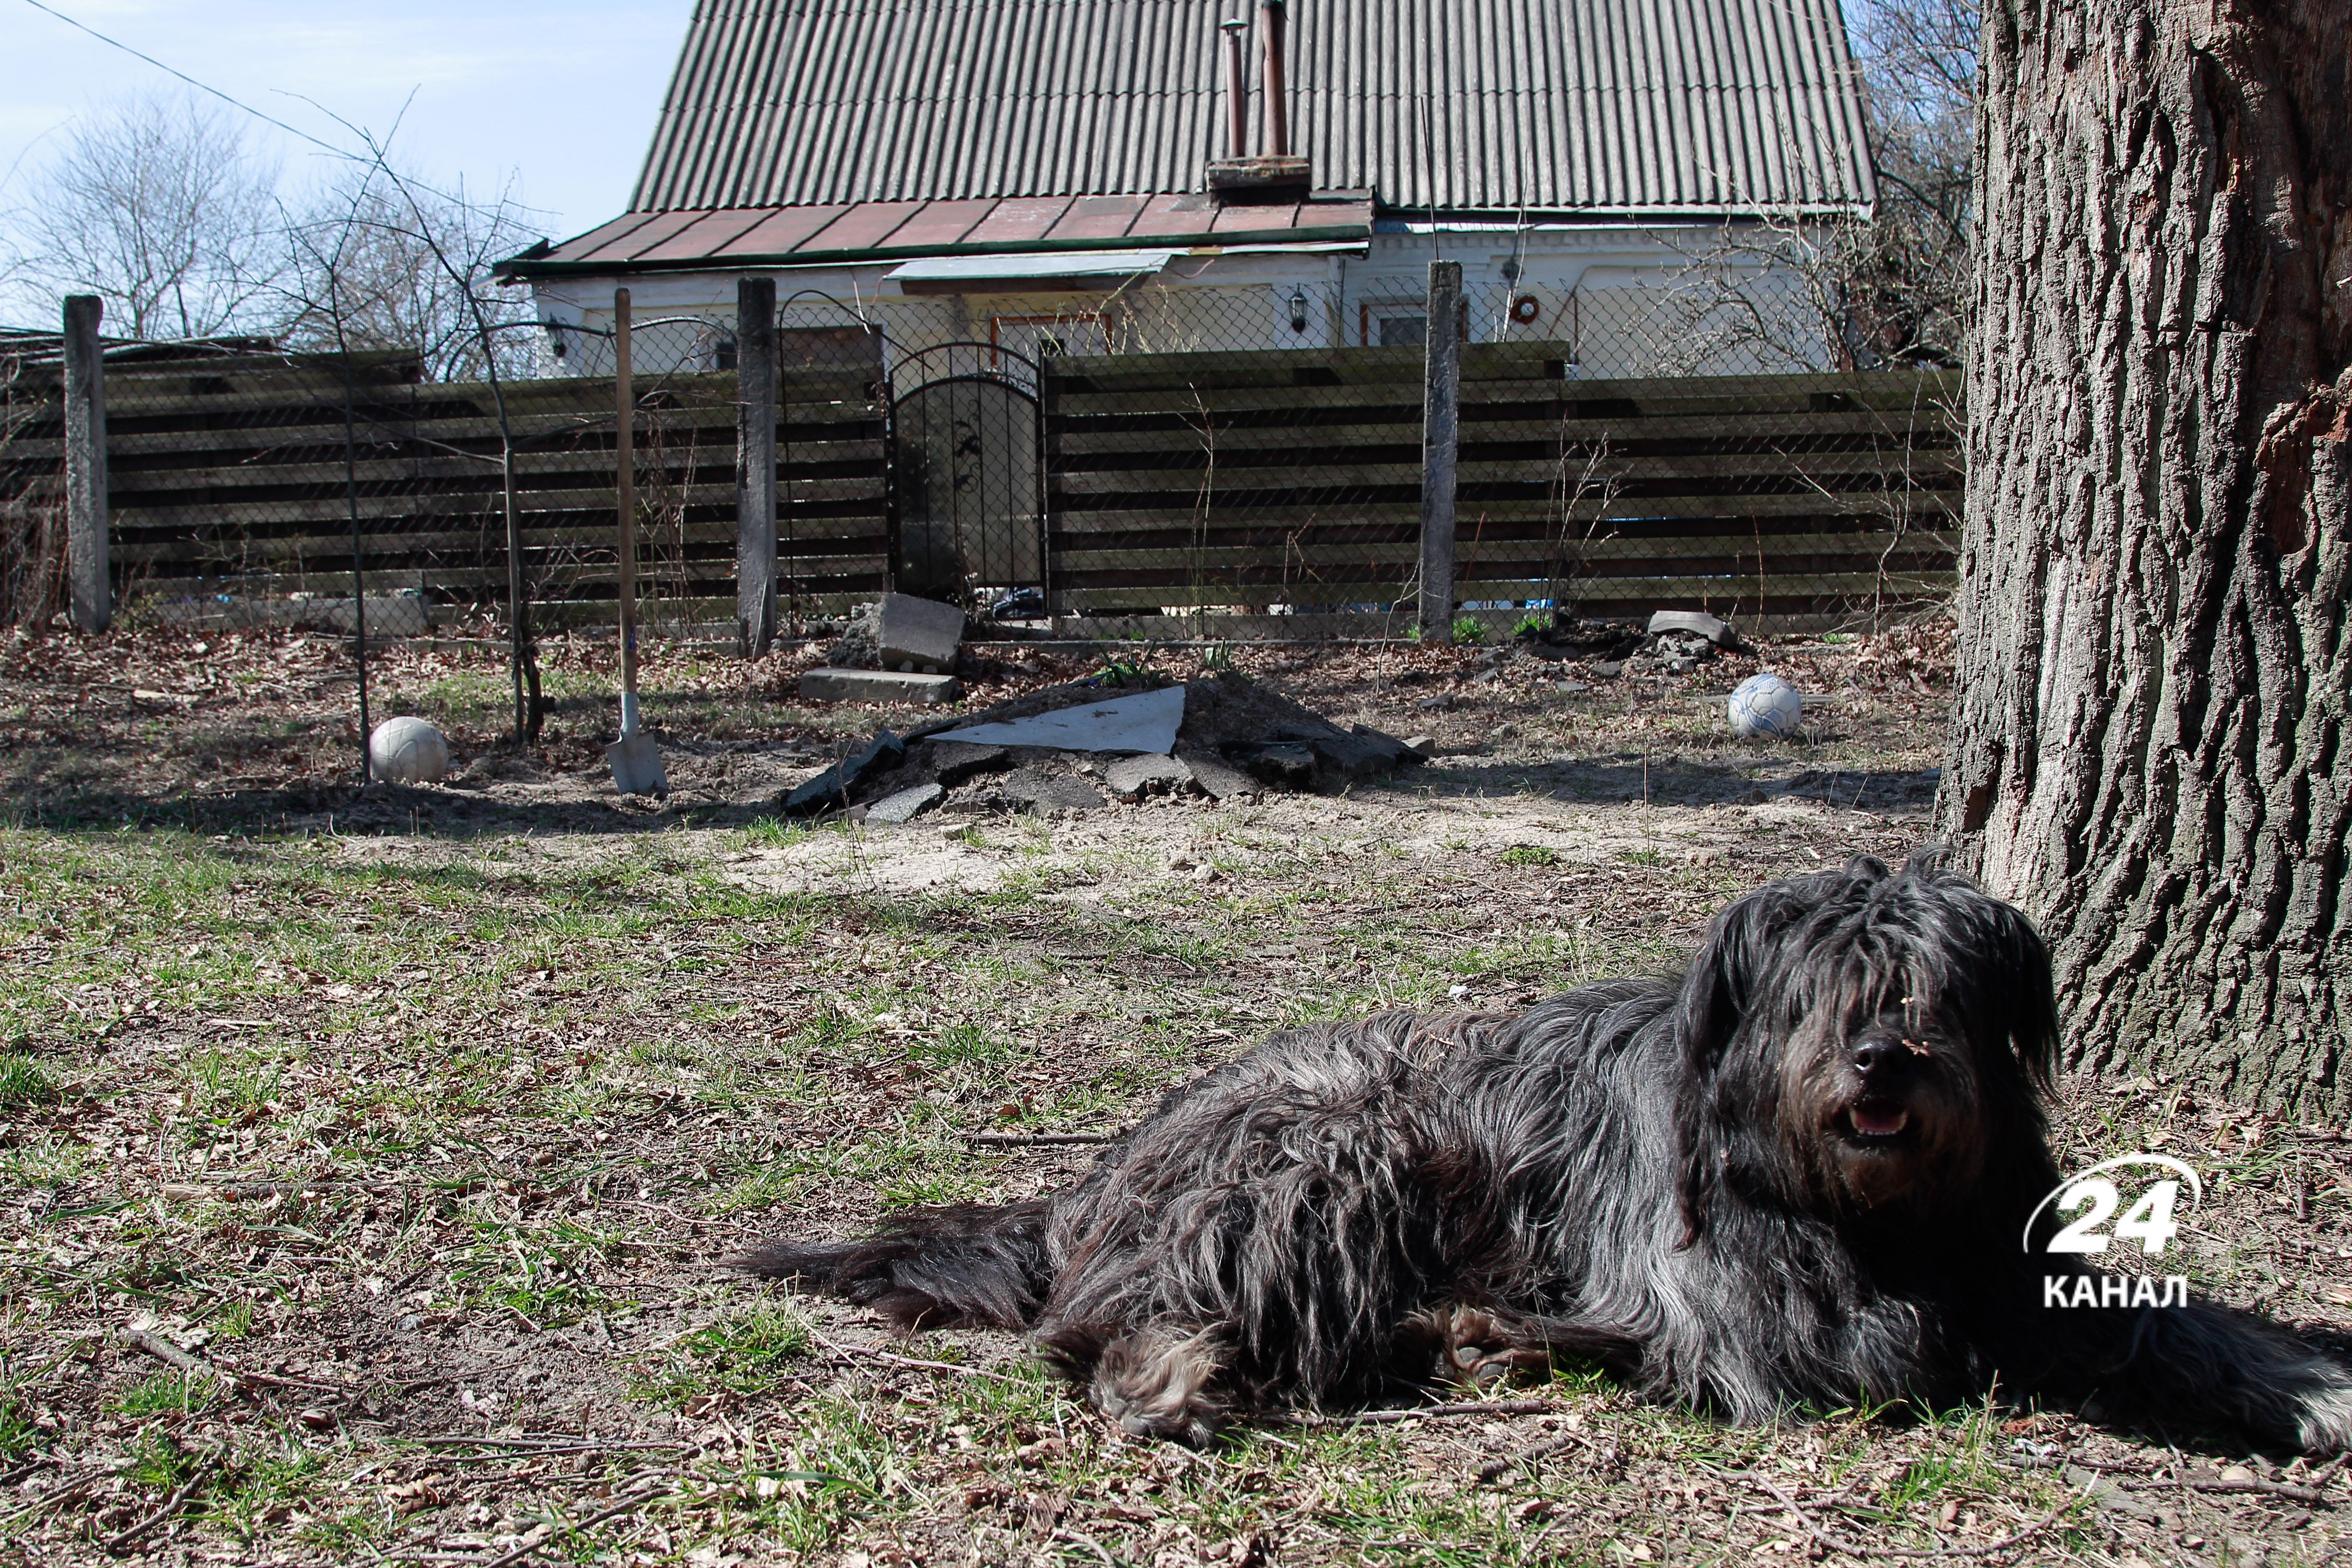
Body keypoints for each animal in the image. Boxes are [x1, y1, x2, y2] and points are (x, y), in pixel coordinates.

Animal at [748, 851, 2352, 1457]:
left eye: (1929, 990)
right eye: (1826, 987)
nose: (1884, 1062)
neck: (1865, 1211)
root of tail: (1109, 1164)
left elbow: (2146, 1314)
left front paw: (2301, 1380)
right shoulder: (1743, 1301)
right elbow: (1884, 1350)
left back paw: (1472, 1334)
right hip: (1341, 1144)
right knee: (1106, 1326)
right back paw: (1178, 1372)